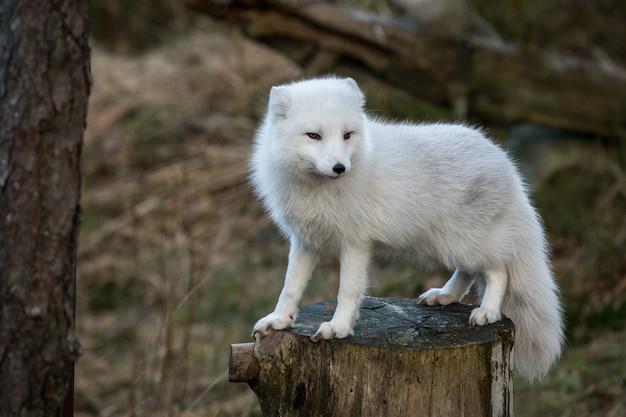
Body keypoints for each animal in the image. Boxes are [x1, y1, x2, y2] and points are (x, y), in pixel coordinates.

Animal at [251, 75, 564, 380]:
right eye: (313, 135)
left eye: (347, 135)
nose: (340, 168)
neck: (315, 188)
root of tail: (506, 162)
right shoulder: (304, 240)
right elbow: (290, 287)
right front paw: (279, 320)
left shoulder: (355, 243)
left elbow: (347, 291)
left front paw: (338, 328)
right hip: (449, 244)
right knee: (470, 272)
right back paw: (446, 295)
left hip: (465, 243)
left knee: (499, 272)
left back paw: (487, 311)